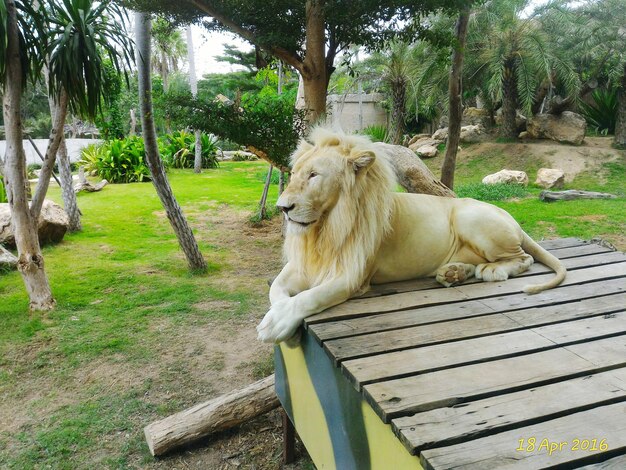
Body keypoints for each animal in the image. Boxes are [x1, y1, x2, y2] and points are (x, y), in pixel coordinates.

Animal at [255, 127, 564, 342]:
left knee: (523, 258)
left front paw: (276, 322)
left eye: (314, 175)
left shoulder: (353, 275)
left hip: (470, 217)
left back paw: (491, 271)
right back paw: (453, 273)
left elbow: (310, 297)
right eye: (294, 173)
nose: (282, 208)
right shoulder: (301, 266)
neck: (325, 227)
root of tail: (512, 220)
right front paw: (276, 314)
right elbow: (276, 291)